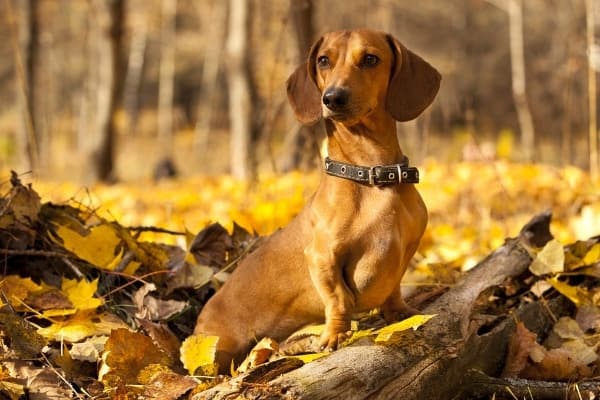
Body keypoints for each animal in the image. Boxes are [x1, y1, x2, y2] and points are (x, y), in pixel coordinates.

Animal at [196, 28, 440, 372]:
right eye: (324, 60)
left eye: (370, 58)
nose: (333, 98)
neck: (372, 177)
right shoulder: (322, 256)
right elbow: (337, 299)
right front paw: (335, 335)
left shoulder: (405, 250)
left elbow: (393, 290)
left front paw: (401, 314)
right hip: (220, 349)